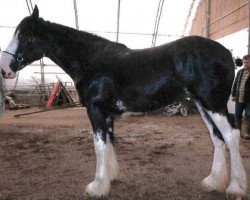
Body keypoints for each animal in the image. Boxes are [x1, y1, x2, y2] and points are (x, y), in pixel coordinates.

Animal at [0, 6, 247, 198]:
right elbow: (109, 143)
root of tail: (227, 53)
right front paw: (109, 178)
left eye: (28, 37)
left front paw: (96, 187)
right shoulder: (107, 113)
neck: (90, 60)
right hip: (202, 105)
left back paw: (236, 187)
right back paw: (212, 182)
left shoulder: (96, 111)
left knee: (231, 135)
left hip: (214, 104)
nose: (5, 69)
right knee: (217, 137)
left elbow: (99, 145)